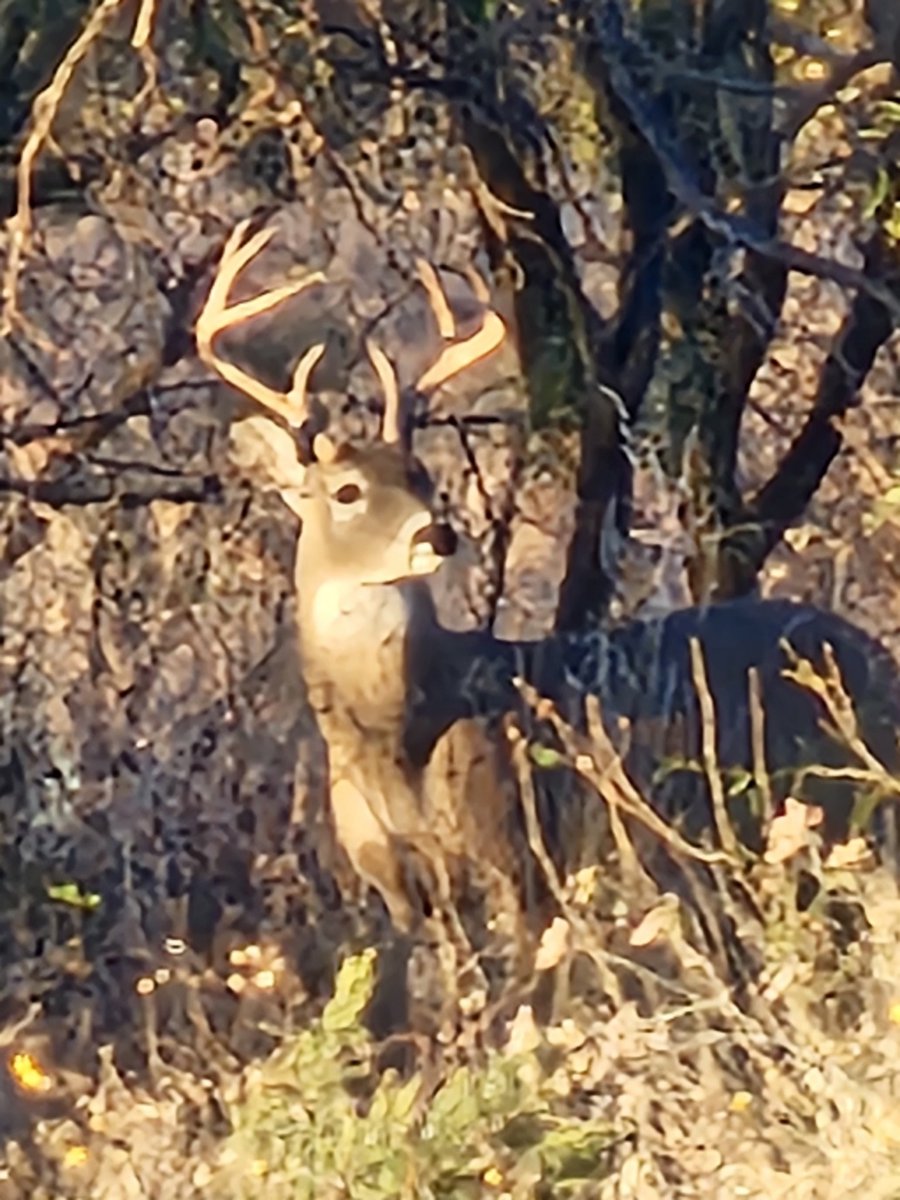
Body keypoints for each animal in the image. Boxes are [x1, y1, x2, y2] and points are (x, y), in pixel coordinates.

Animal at [196, 220, 900, 941]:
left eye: (423, 476)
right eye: (346, 491)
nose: (437, 535)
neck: (395, 740)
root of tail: (878, 656)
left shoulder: (514, 845)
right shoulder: (392, 880)